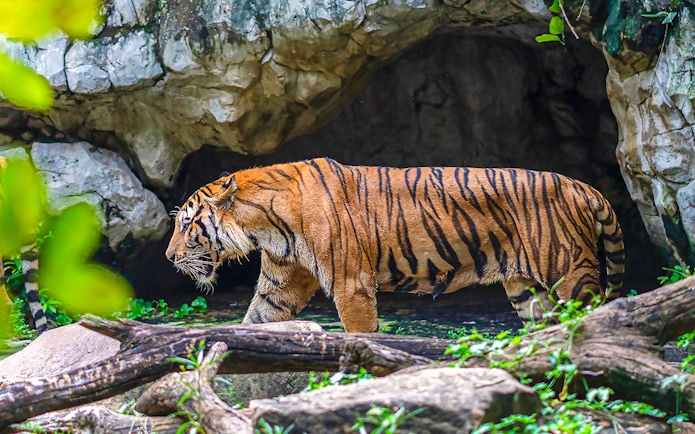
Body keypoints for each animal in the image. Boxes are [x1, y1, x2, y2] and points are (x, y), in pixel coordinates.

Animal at [166, 158, 625, 333]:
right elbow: (257, 320)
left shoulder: (351, 283)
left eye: (187, 224)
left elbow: (360, 333)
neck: (265, 226)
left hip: (571, 275)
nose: (169, 257)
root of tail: (582, 187)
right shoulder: (282, 284)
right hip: (525, 290)